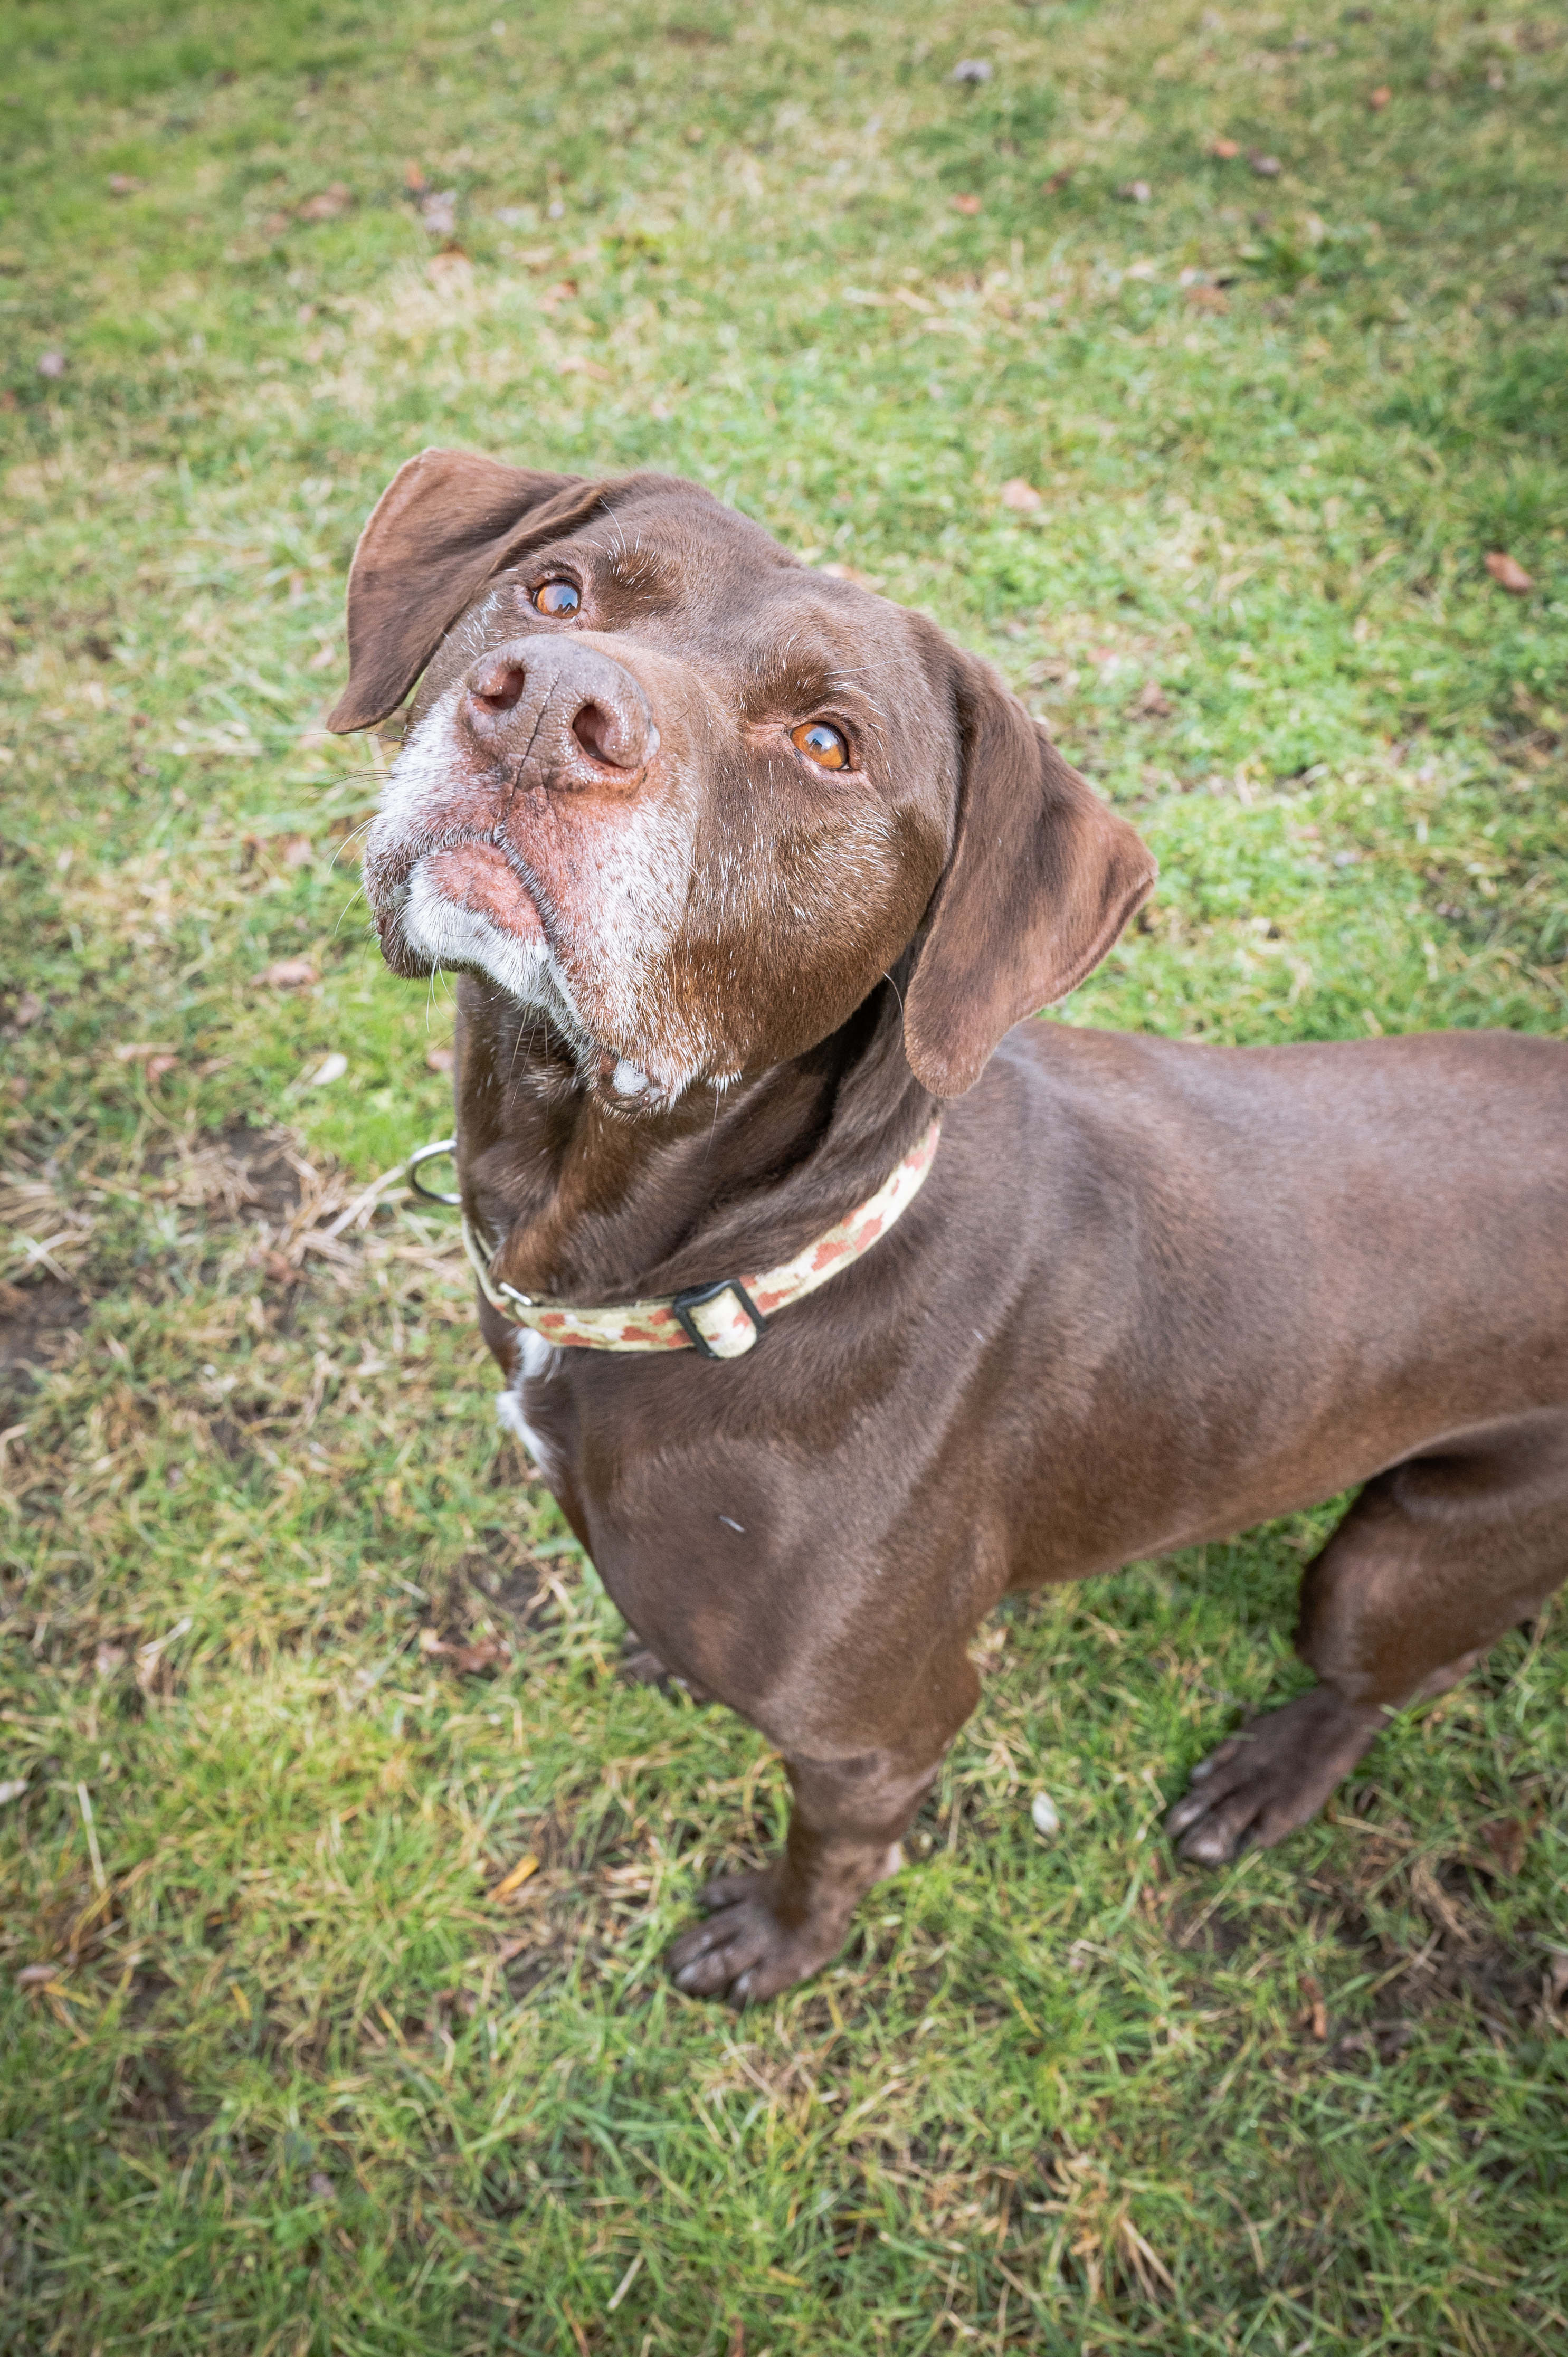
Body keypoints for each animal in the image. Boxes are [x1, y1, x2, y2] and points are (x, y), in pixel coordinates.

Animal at [328, 454, 1565, 2008]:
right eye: (557, 593)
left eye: (828, 742)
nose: (549, 702)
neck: (743, 1273)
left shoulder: (883, 1735)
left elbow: (830, 1856)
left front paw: (774, 1947)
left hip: (1403, 1555)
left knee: (1383, 1677)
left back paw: (1270, 1775)